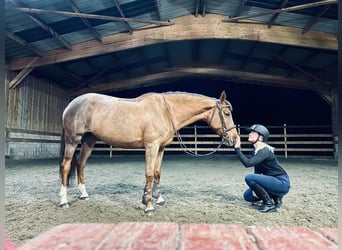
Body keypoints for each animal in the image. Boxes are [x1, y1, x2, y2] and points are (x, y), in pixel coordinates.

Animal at [58, 91, 238, 212]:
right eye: (226, 113)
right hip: (73, 140)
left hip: (89, 140)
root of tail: (70, 105)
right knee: (65, 166)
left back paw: (83, 194)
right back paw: (63, 201)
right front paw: (148, 204)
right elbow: (149, 174)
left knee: (81, 163)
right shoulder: (152, 146)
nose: (235, 139)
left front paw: (158, 198)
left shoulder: (161, 148)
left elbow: (157, 173)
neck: (165, 111)